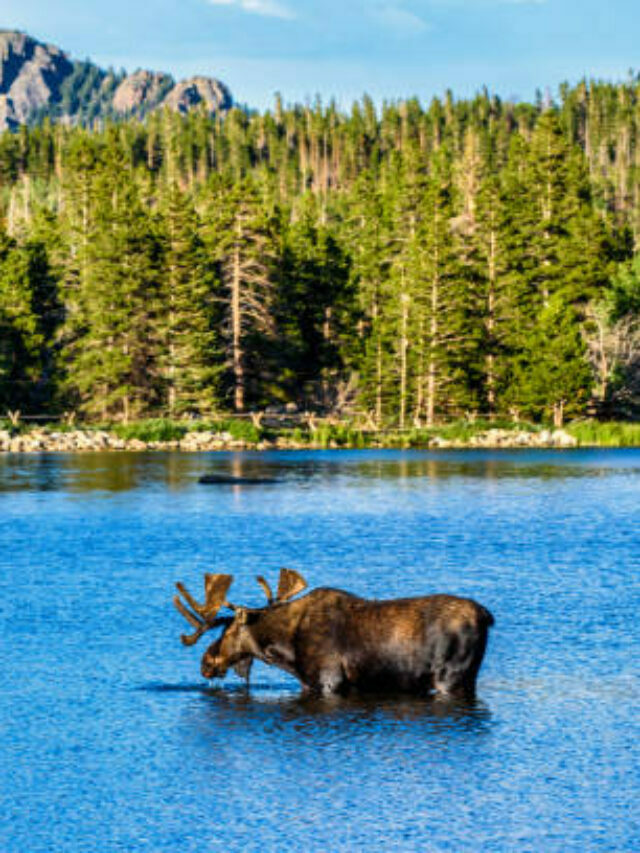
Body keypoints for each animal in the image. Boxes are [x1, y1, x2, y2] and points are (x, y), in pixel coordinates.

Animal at [171, 568, 496, 696]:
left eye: (226, 631)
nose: (205, 663)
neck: (285, 651)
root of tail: (486, 616)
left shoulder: (329, 680)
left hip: (450, 676)